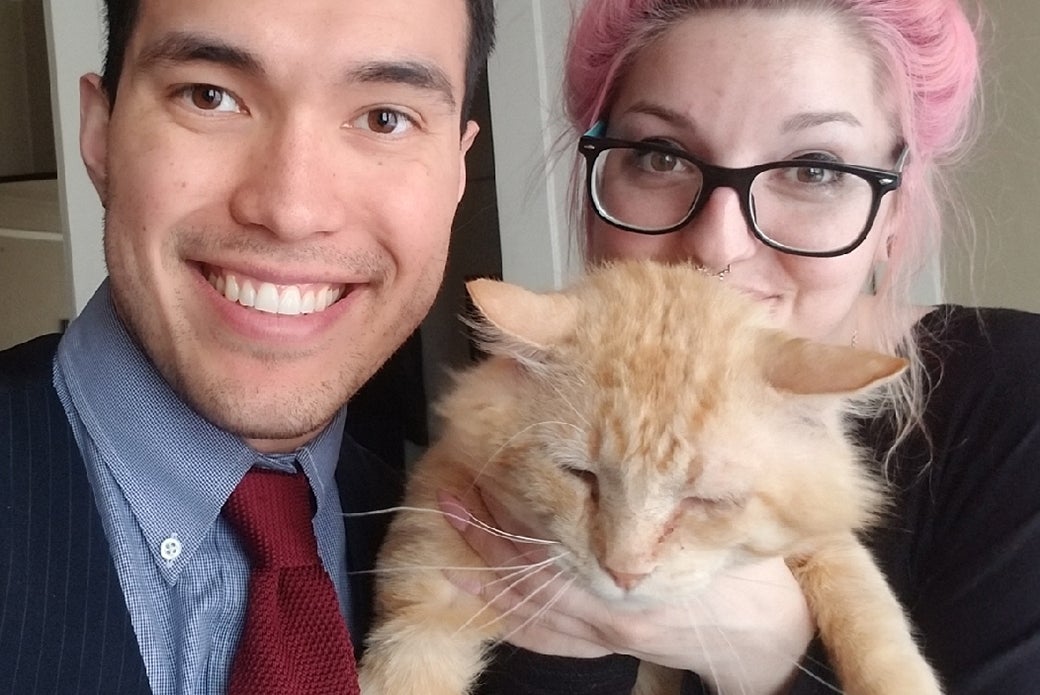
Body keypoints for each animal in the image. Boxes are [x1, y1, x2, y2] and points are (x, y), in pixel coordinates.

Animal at [357, 259, 942, 695]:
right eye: (580, 475)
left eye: (708, 501)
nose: (624, 572)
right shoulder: (425, 599)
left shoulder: (824, 542)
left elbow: (871, 619)